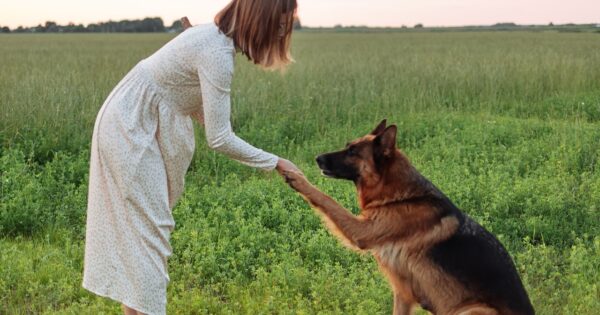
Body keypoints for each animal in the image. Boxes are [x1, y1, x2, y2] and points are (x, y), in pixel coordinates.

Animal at [284, 119, 536, 314]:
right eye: (348, 146)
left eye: (353, 151)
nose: (317, 158)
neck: (401, 197)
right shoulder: (403, 294)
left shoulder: (362, 231)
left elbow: (327, 199)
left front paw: (297, 178)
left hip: (471, 310)